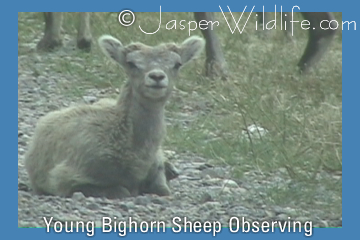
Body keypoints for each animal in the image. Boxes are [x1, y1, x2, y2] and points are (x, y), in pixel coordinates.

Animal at [24, 34, 205, 199]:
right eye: (131, 63)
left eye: (177, 64)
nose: (157, 77)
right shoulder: (64, 178)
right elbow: (122, 191)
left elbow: (163, 190)